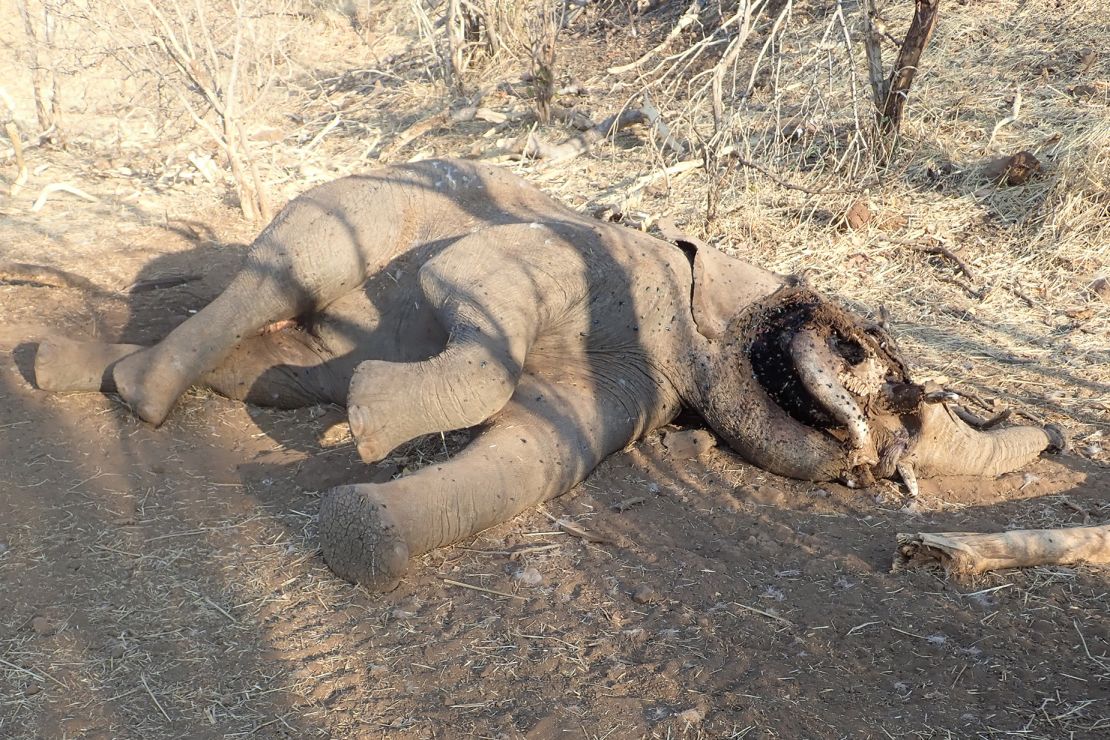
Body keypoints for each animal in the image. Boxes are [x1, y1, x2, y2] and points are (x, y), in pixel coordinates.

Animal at [30, 160, 1061, 590]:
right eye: (868, 353)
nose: (882, 467)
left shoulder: (637, 389)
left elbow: (535, 455)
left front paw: (361, 535)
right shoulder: (599, 262)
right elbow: (471, 288)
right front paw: (371, 428)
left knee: (277, 375)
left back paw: (73, 371)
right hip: (353, 205)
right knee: (281, 278)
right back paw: (142, 397)